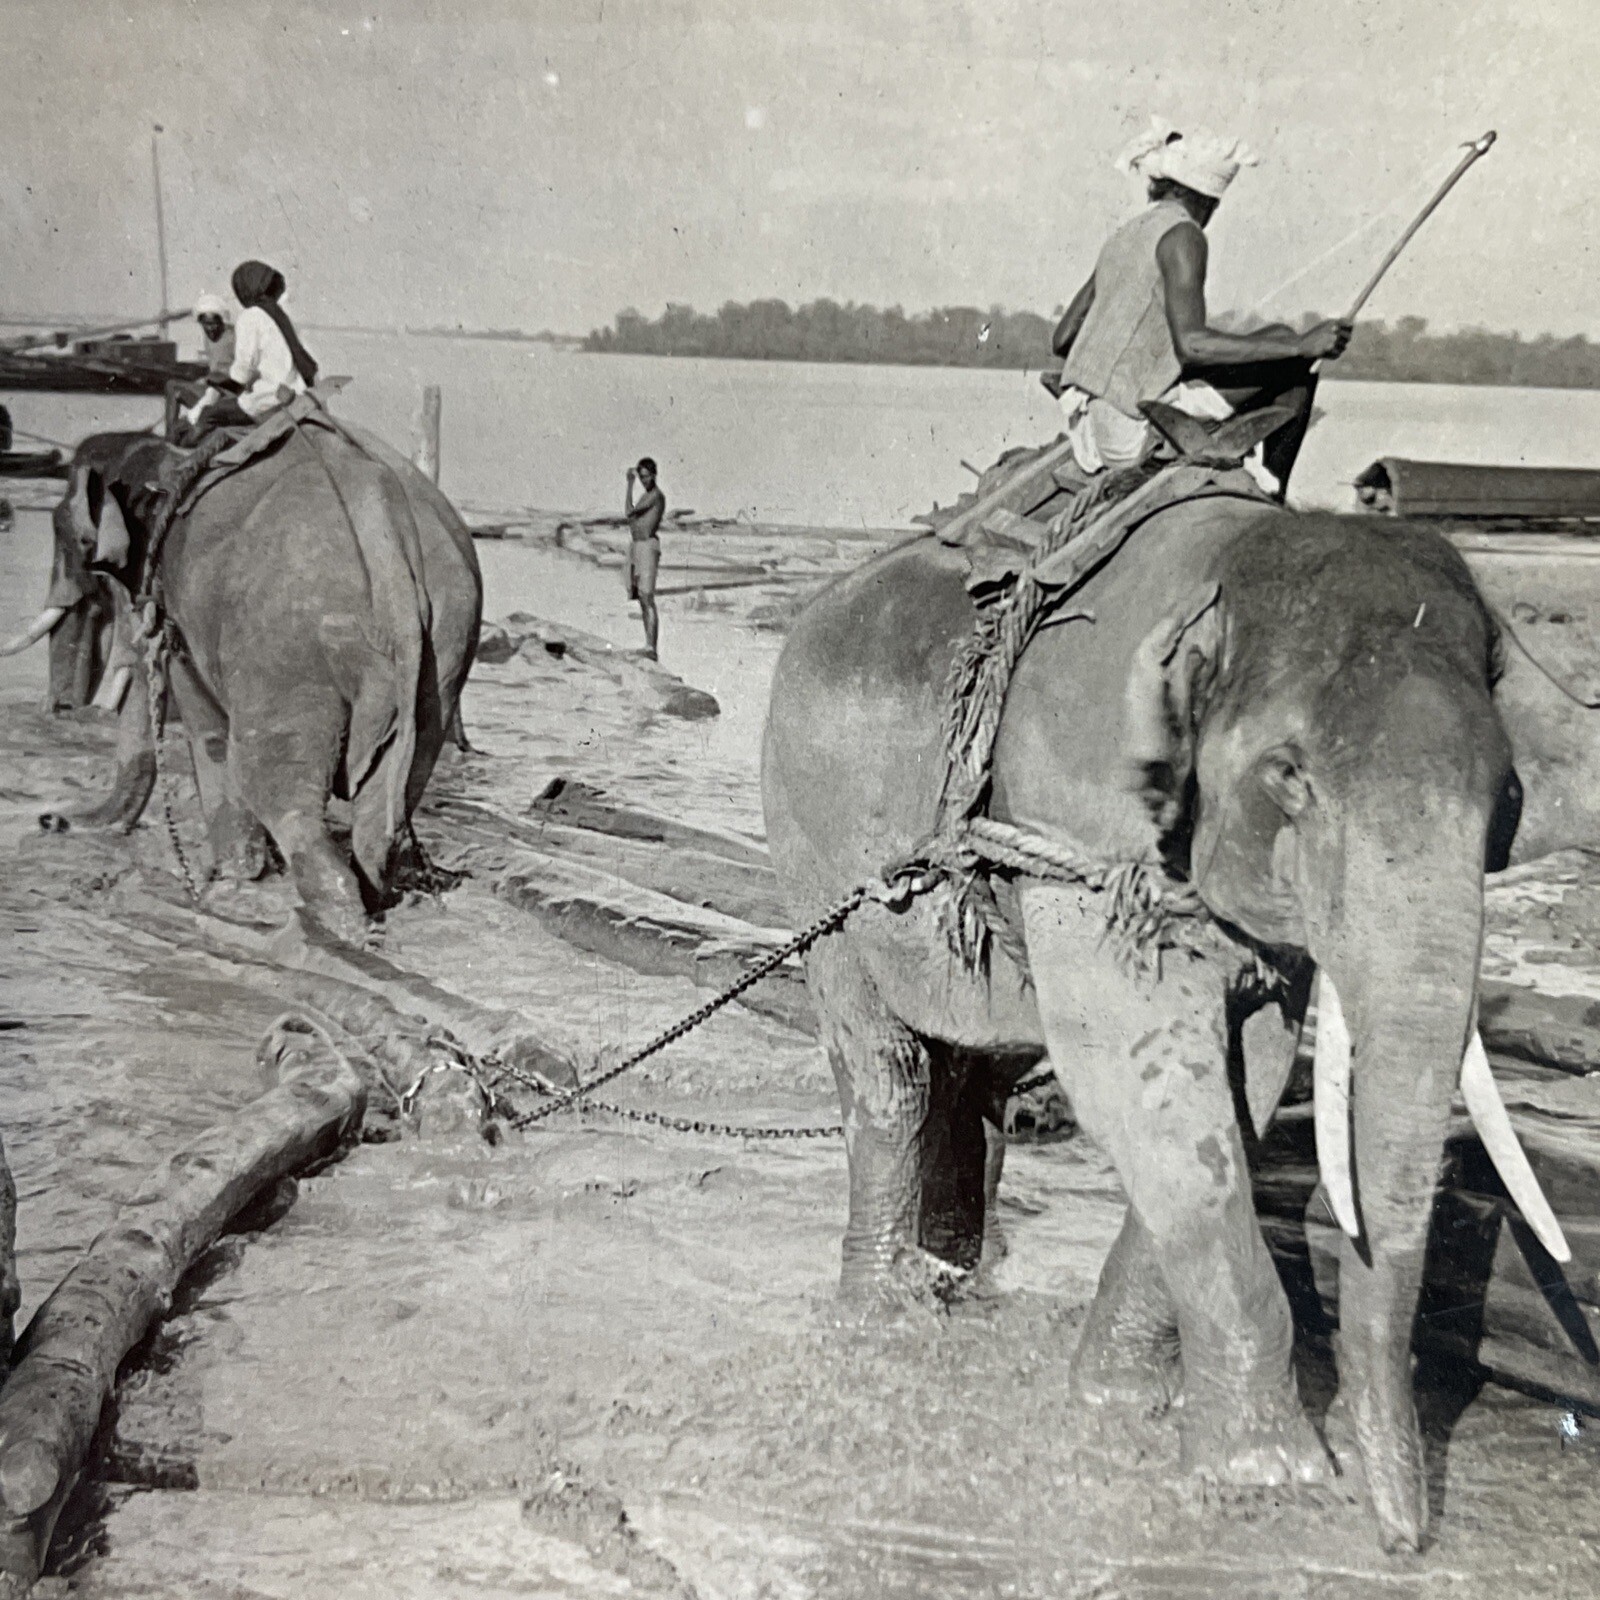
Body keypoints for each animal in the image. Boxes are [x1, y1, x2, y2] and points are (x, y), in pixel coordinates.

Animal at [5, 420, 482, 930]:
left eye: (74, 539)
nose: (50, 819)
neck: (173, 459)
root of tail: (387, 539)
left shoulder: (182, 618)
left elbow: (208, 730)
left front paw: (235, 876)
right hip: (442, 654)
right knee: (379, 825)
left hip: (286, 656)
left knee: (276, 792)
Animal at [762, 497, 1578, 1553]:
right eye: (1289, 775)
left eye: (1504, 796)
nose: (1402, 1541)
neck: (1228, 570)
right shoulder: (1082, 818)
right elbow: (1137, 1075)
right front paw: (1267, 1477)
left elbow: (1246, 1086)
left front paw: (1116, 1402)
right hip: (814, 858)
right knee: (888, 1074)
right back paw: (882, 1319)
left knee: (967, 1082)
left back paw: (951, 1288)